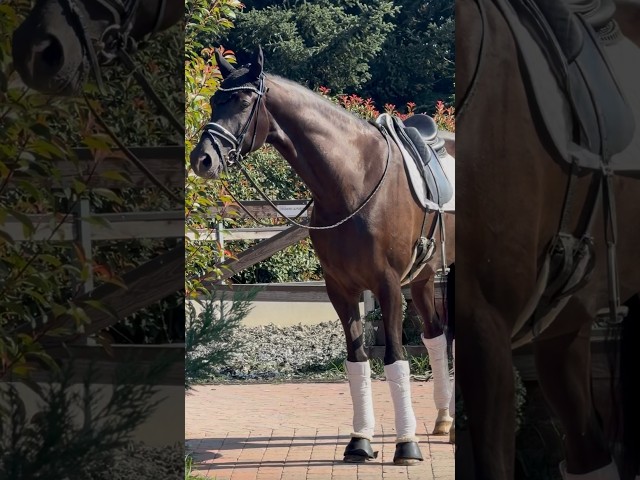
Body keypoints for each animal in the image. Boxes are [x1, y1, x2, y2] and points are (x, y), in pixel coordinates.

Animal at [189, 46, 456, 464]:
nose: (202, 159)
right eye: (215, 99)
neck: (355, 179)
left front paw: (406, 445)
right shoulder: (340, 288)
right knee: (436, 337)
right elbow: (357, 360)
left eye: (244, 100)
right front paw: (360, 441)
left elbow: (395, 359)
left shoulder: (387, 286)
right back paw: (443, 420)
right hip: (425, 278)